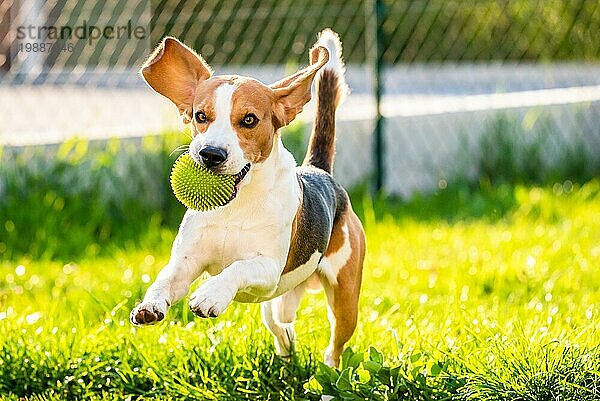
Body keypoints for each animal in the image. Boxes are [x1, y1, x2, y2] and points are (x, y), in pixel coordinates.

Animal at [131, 28, 366, 366]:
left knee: (334, 347)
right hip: (275, 306)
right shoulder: (186, 262)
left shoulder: (267, 267)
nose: (210, 154)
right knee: (282, 327)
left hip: (345, 300)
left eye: (249, 120)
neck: (233, 208)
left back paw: (329, 375)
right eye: (200, 116)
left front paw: (210, 295)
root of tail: (319, 171)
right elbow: (165, 279)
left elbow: (238, 268)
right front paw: (149, 305)